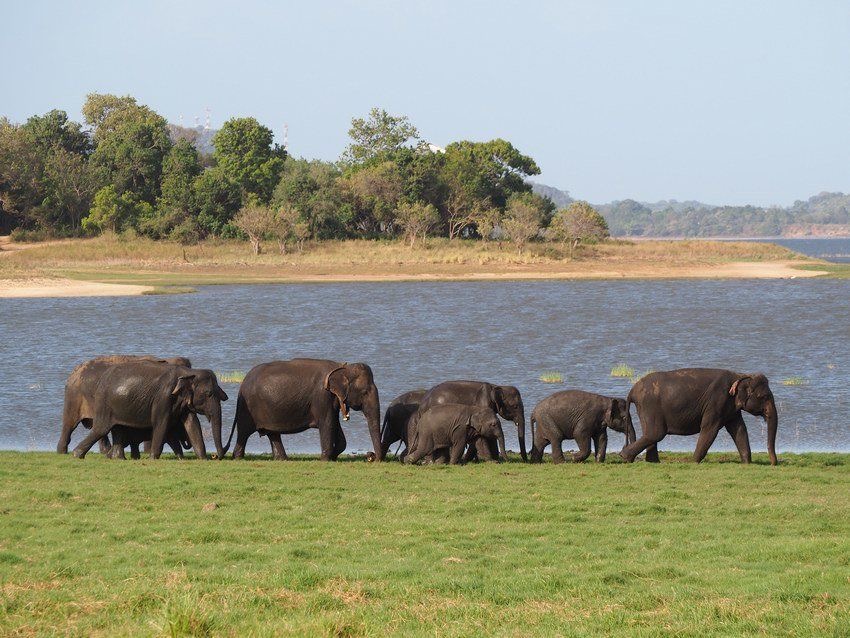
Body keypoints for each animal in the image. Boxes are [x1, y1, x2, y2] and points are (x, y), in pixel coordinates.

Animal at [71, 361, 227, 460]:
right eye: (209, 394)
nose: (215, 456)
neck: (188, 372)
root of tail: (102, 378)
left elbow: (192, 424)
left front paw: (203, 459)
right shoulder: (163, 397)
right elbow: (161, 423)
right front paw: (153, 458)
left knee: (118, 429)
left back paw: (118, 459)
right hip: (104, 404)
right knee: (101, 429)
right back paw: (77, 455)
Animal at [228, 359, 382, 461]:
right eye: (365, 392)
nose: (371, 456)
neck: (341, 367)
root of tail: (243, 382)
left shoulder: (332, 401)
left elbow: (335, 424)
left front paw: (332, 457)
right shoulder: (322, 396)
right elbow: (327, 424)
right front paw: (325, 460)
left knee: (273, 434)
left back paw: (282, 459)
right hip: (247, 408)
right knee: (244, 432)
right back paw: (238, 458)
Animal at [619, 368, 778, 465]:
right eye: (764, 396)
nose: (773, 464)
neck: (739, 375)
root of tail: (632, 391)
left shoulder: (731, 408)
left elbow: (739, 430)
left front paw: (747, 463)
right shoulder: (716, 402)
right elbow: (709, 429)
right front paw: (693, 462)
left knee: (651, 434)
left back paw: (652, 462)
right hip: (649, 406)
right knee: (655, 433)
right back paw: (624, 457)